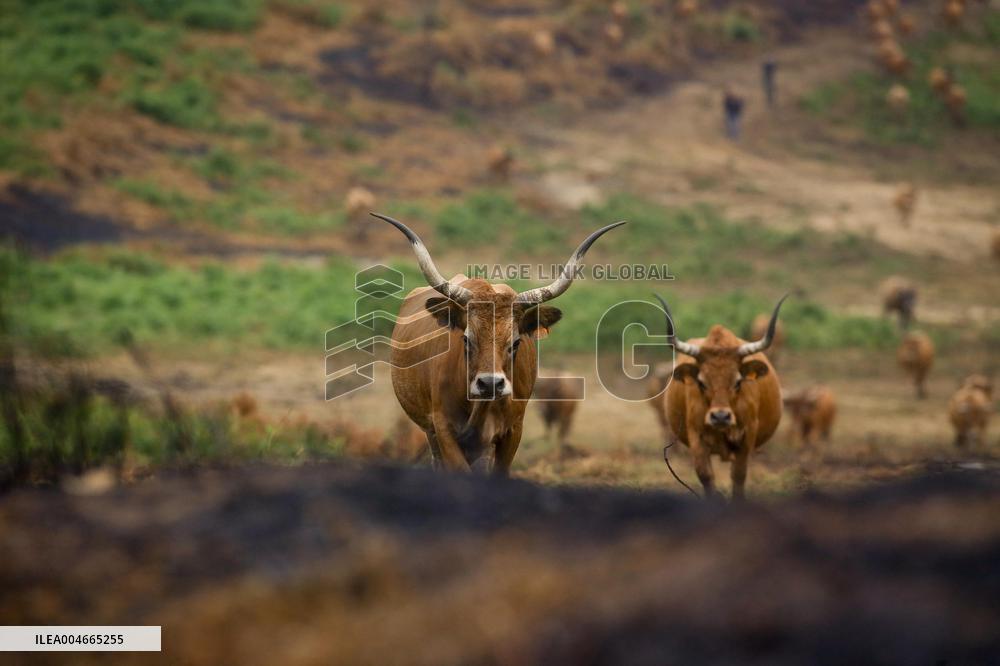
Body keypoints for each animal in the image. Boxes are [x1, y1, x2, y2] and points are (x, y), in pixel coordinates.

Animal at [376, 213, 623, 474]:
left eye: (515, 343)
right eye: (466, 338)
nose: (490, 384)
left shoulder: (513, 431)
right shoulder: (444, 430)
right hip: (431, 431)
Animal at [657, 294, 786, 501]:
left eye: (738, 381)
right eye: (701, 382)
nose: (720, 416)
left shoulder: (747, 435)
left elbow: (738, 475)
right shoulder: (696, 436)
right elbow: (705, 475)